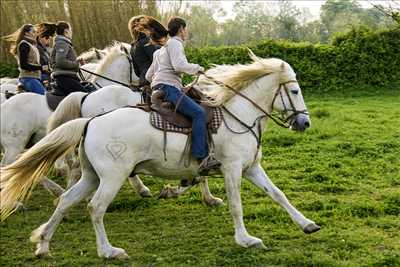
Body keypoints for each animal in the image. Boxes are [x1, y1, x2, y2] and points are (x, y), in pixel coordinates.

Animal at [0, 52, 318, 260]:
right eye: (294, 90)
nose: (304, 123)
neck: (238, 115)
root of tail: (90, 121)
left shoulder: (251, 168)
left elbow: (278, 195)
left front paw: (306, 224)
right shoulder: (232, 169)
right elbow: (236, 205)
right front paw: (245, 239)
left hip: (92, 176)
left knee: (67, 199)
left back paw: (43, 244)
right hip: (109, 177)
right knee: (95, 207)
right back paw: (108, 250)